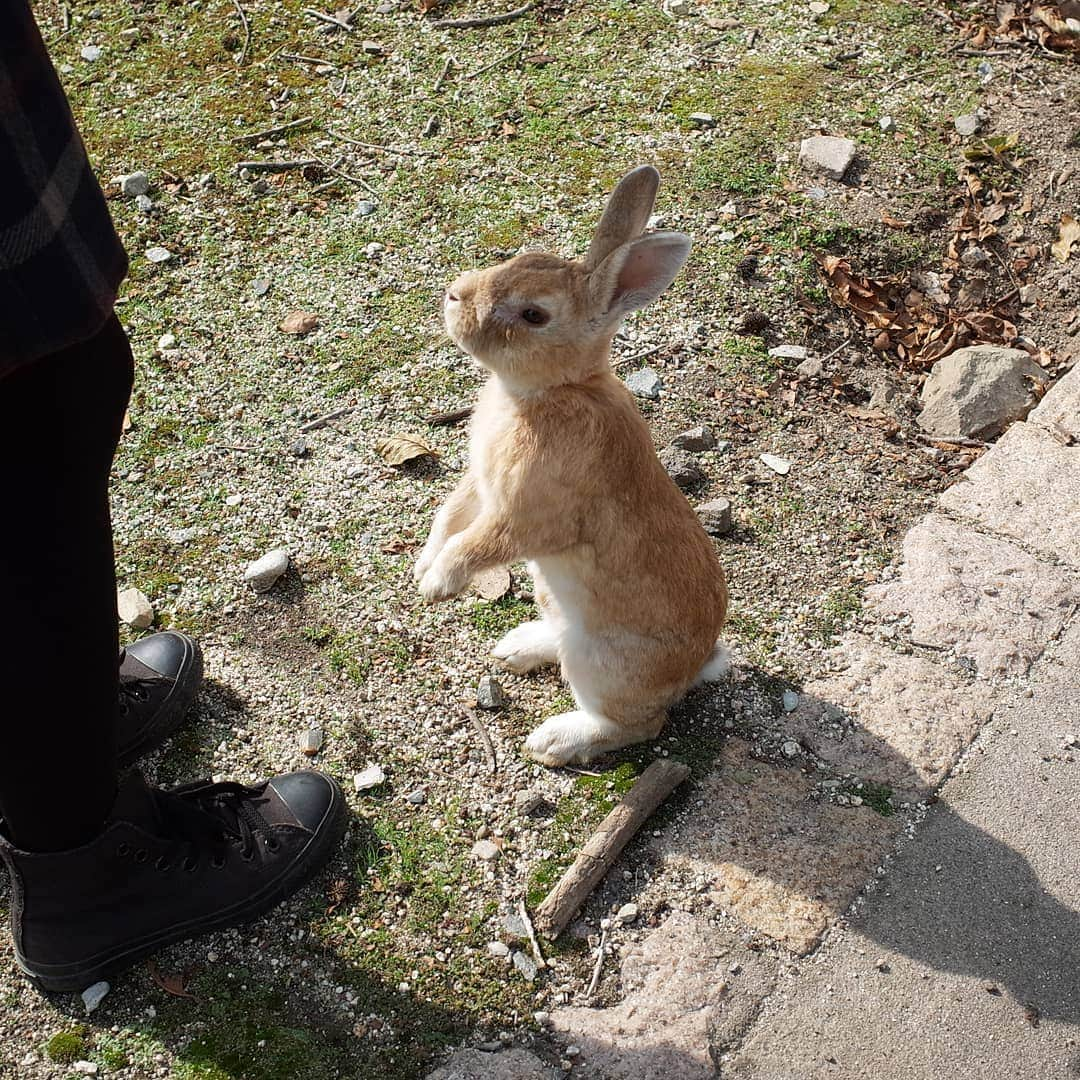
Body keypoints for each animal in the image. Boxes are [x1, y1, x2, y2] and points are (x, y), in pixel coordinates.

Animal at [416, 162, 730, 768]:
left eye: (534, 314)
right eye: (520, 256)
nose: (454, 295)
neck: (551, 391)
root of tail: (697, 668)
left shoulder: (528, 517)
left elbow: (478, 543)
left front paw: (437, 584)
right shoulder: (480, 486)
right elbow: (450, 516)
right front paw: (423, 566)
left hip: (602, 665)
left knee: (638, 724)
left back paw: (555, 741)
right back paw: (516, 648)